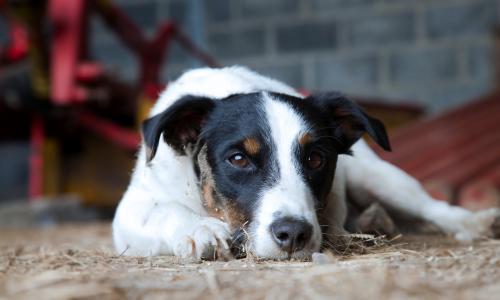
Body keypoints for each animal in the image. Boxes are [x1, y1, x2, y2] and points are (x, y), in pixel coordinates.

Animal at [113, 66, 500, 260]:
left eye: (315, 159)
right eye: (237, 159)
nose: (294, 234)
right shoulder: (131, 211)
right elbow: (164, 210)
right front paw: (199, 229)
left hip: (377, 176)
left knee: (431, 208)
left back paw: (473, 222)